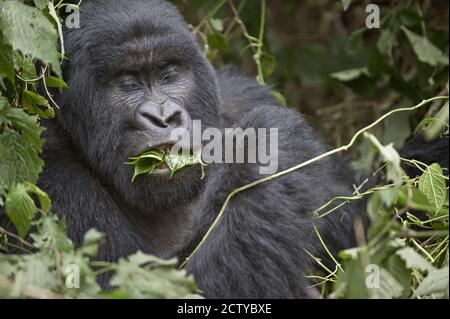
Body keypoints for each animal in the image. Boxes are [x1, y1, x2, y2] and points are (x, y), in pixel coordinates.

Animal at [2, 0, 446, 300]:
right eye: (127, 82)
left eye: (169, 74)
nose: (163, 116)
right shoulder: (46, 177)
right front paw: (267, 144)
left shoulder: (240, 92)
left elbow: (366, 219)